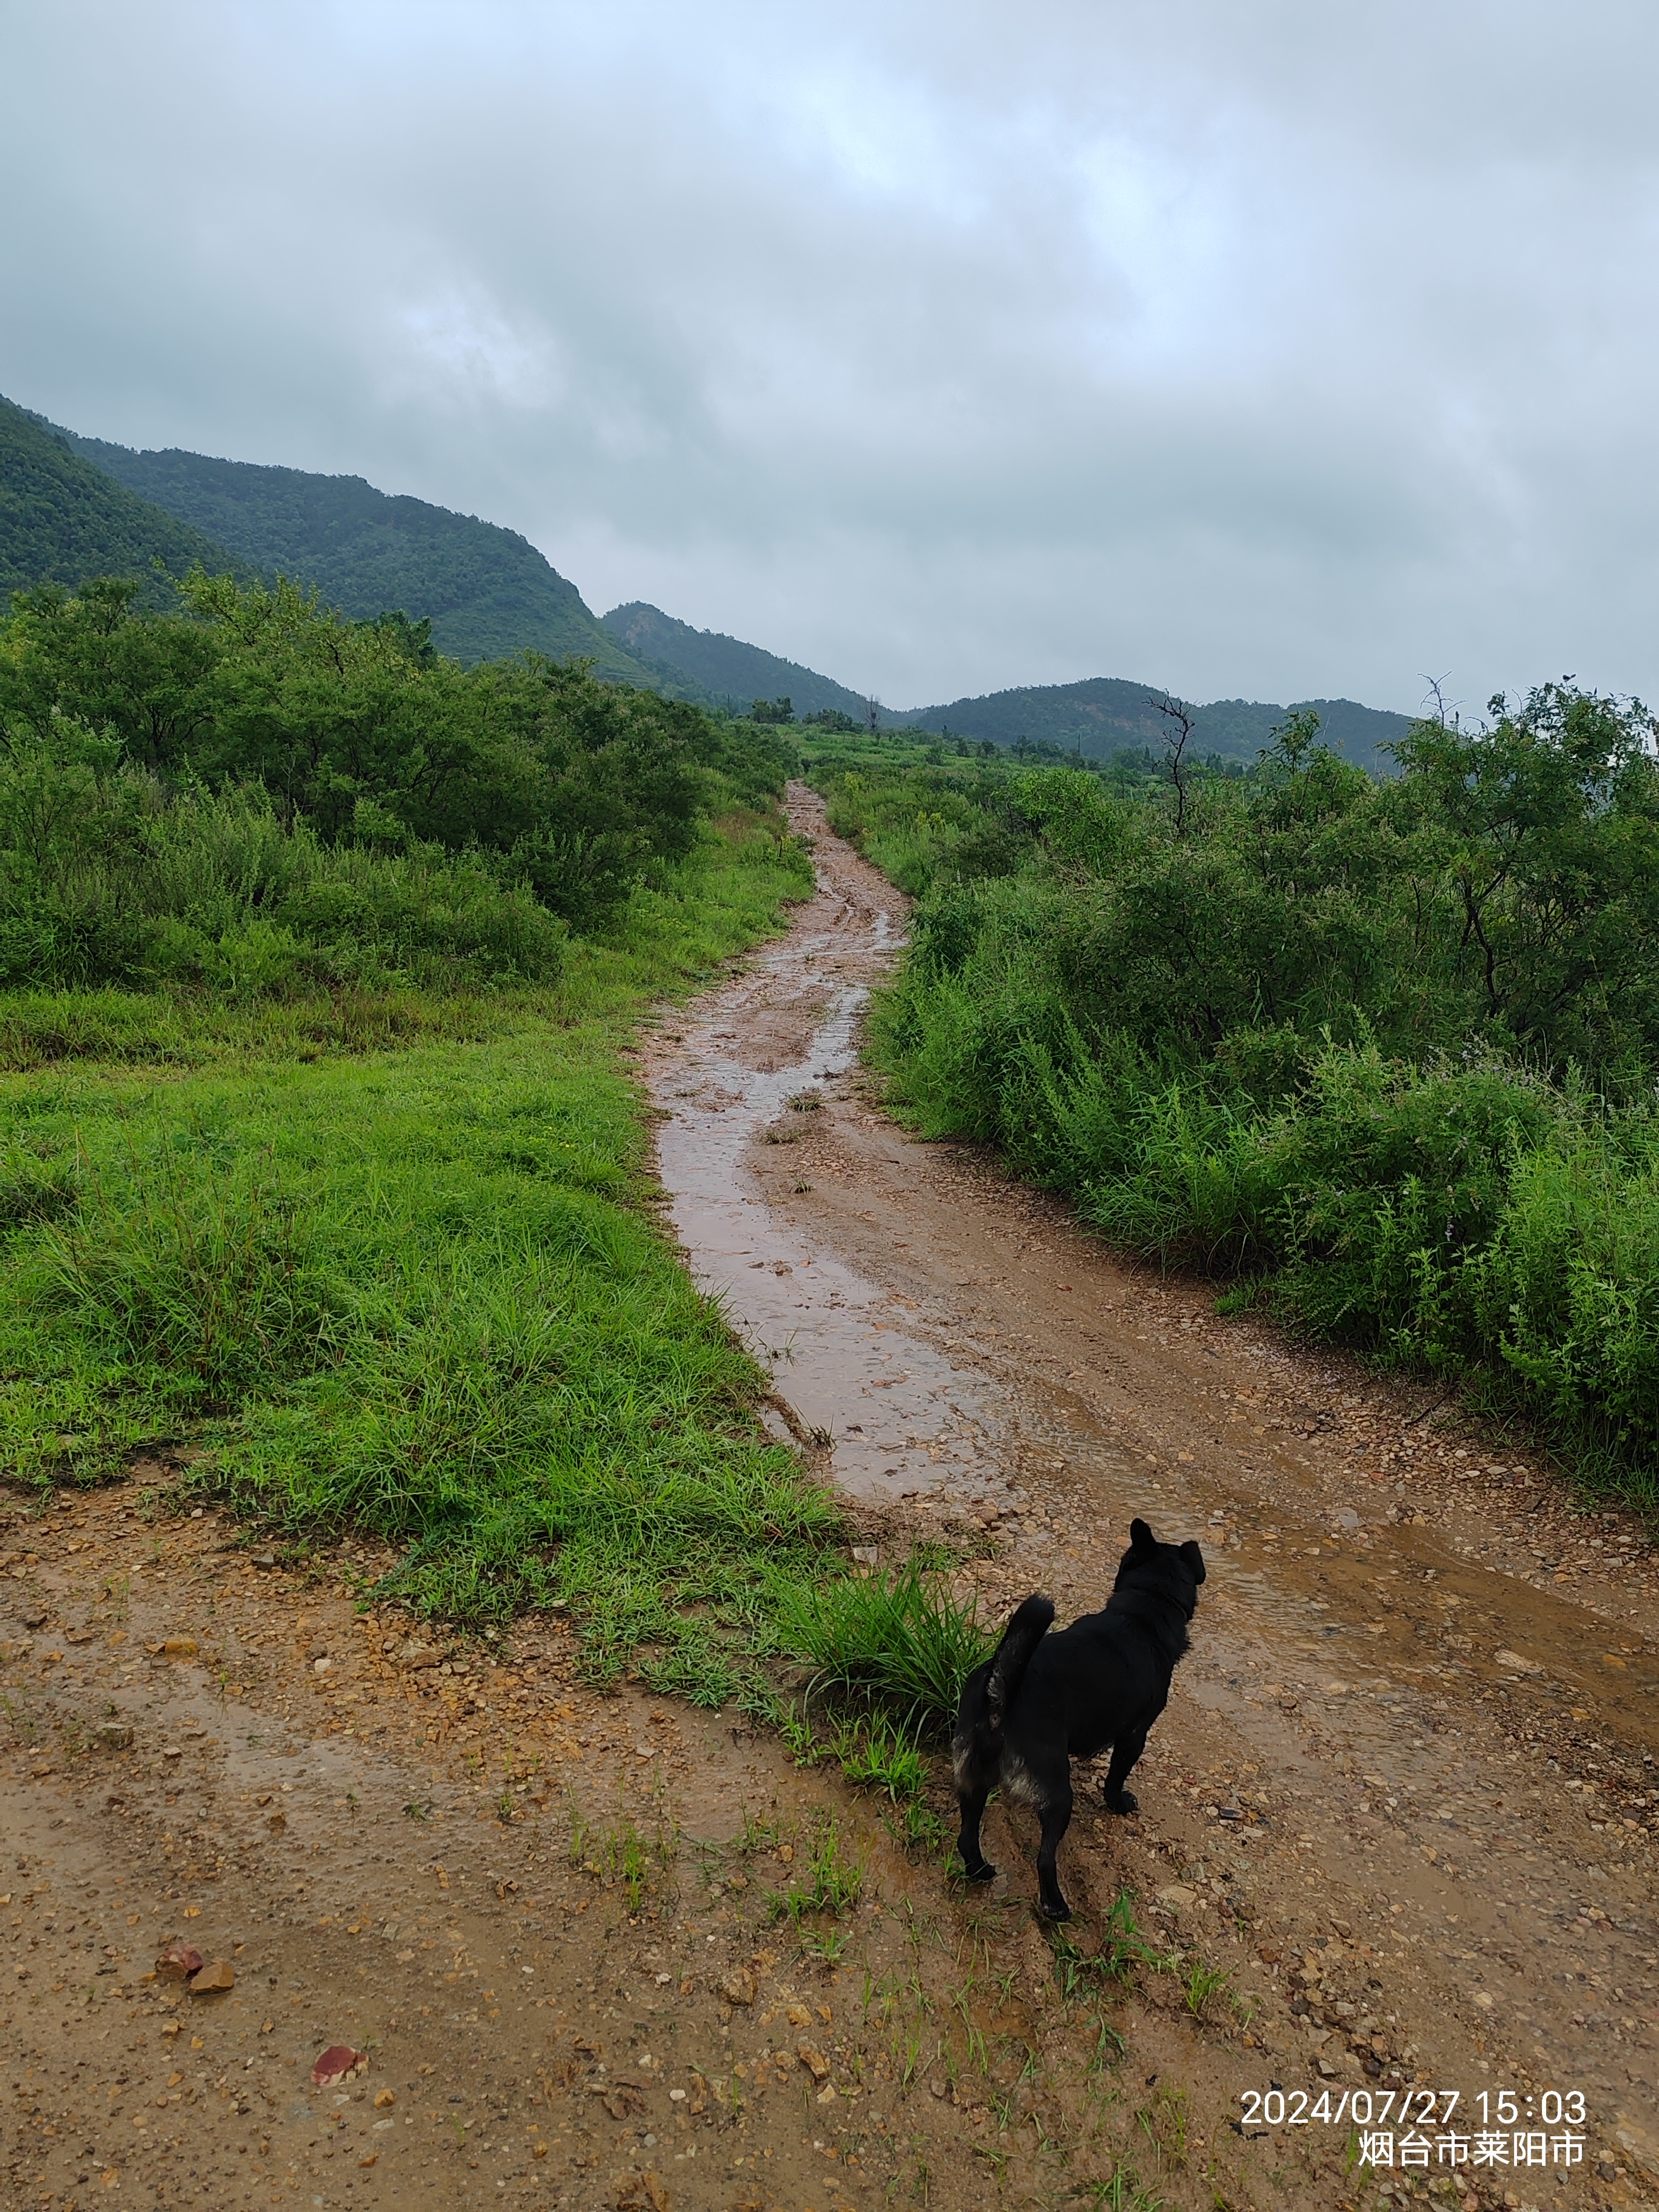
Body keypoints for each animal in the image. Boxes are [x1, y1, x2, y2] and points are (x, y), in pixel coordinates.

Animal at [955, 1522, 1203, 1920]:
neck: (1147, 1608)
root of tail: (999, 1694)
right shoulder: (1134, 1735)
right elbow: (1116, 1777)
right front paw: (1118, 1803)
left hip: (973, 1779)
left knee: (967, 1837)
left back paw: (979, 1871)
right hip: (1058, 1796)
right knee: (1045, 1859)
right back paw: (1056, 1907)